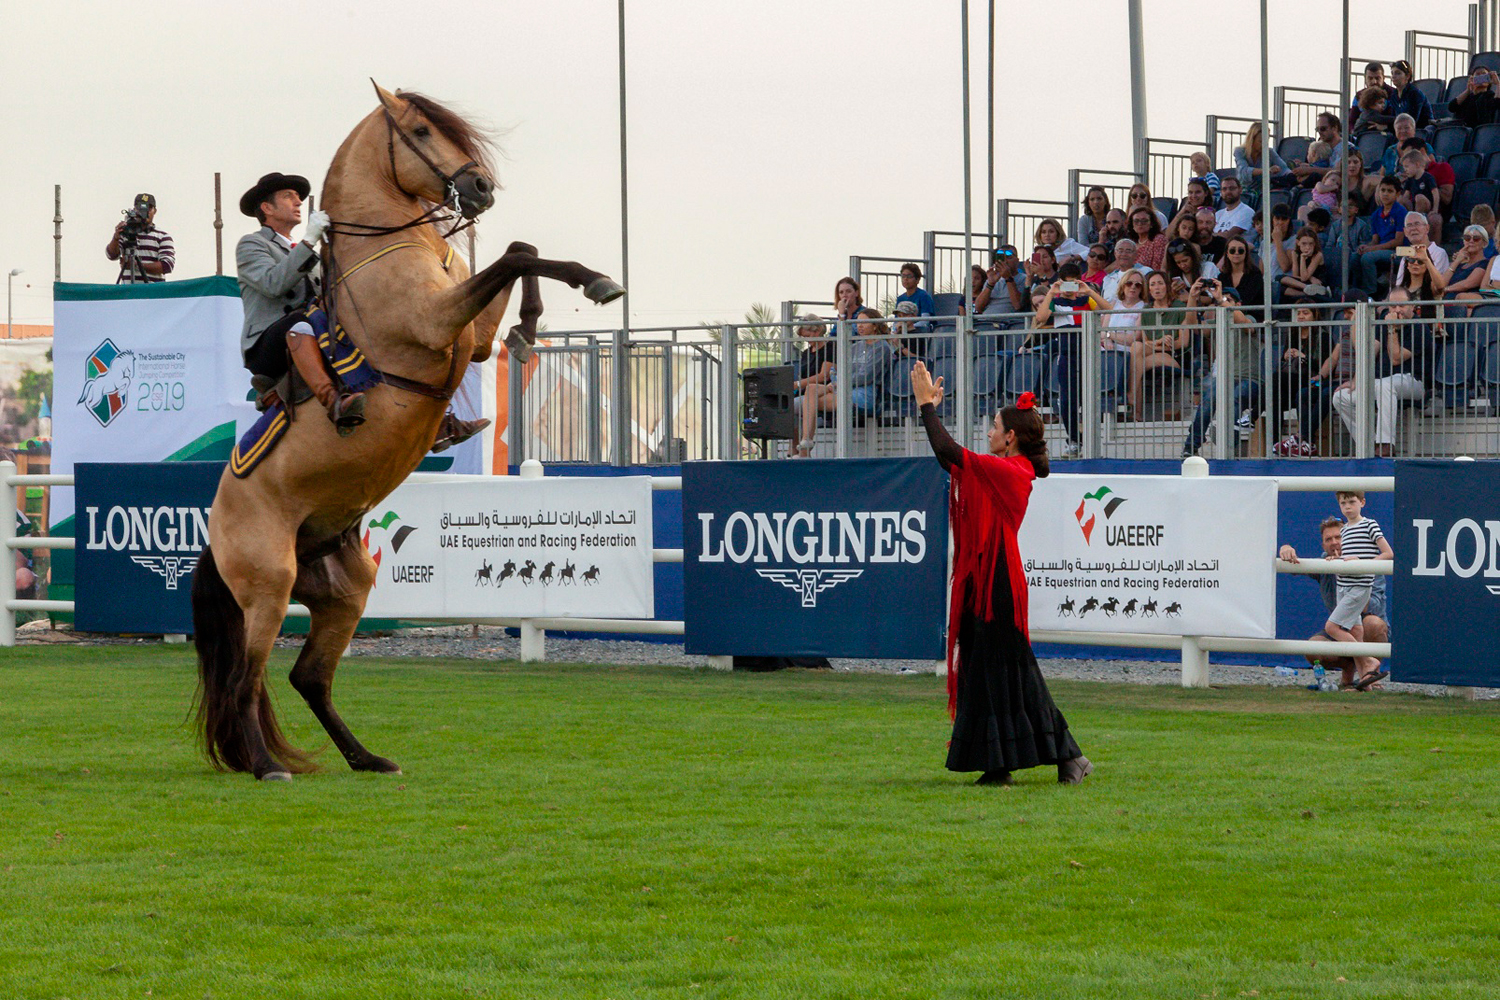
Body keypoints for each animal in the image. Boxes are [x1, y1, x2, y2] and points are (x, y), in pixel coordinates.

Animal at [190, 83, 624, 779]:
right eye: (421, 131)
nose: (479, 186)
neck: (384, 250)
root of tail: (217, 529)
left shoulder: (470, 338)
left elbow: (521, 255)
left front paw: (534, 323)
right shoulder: (434, 320)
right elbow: (510, 258)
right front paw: (592, 283)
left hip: (343, 591)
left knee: (309, 678)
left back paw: (367, 758)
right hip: (269, 587)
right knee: (246, 680)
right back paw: (266, 765)